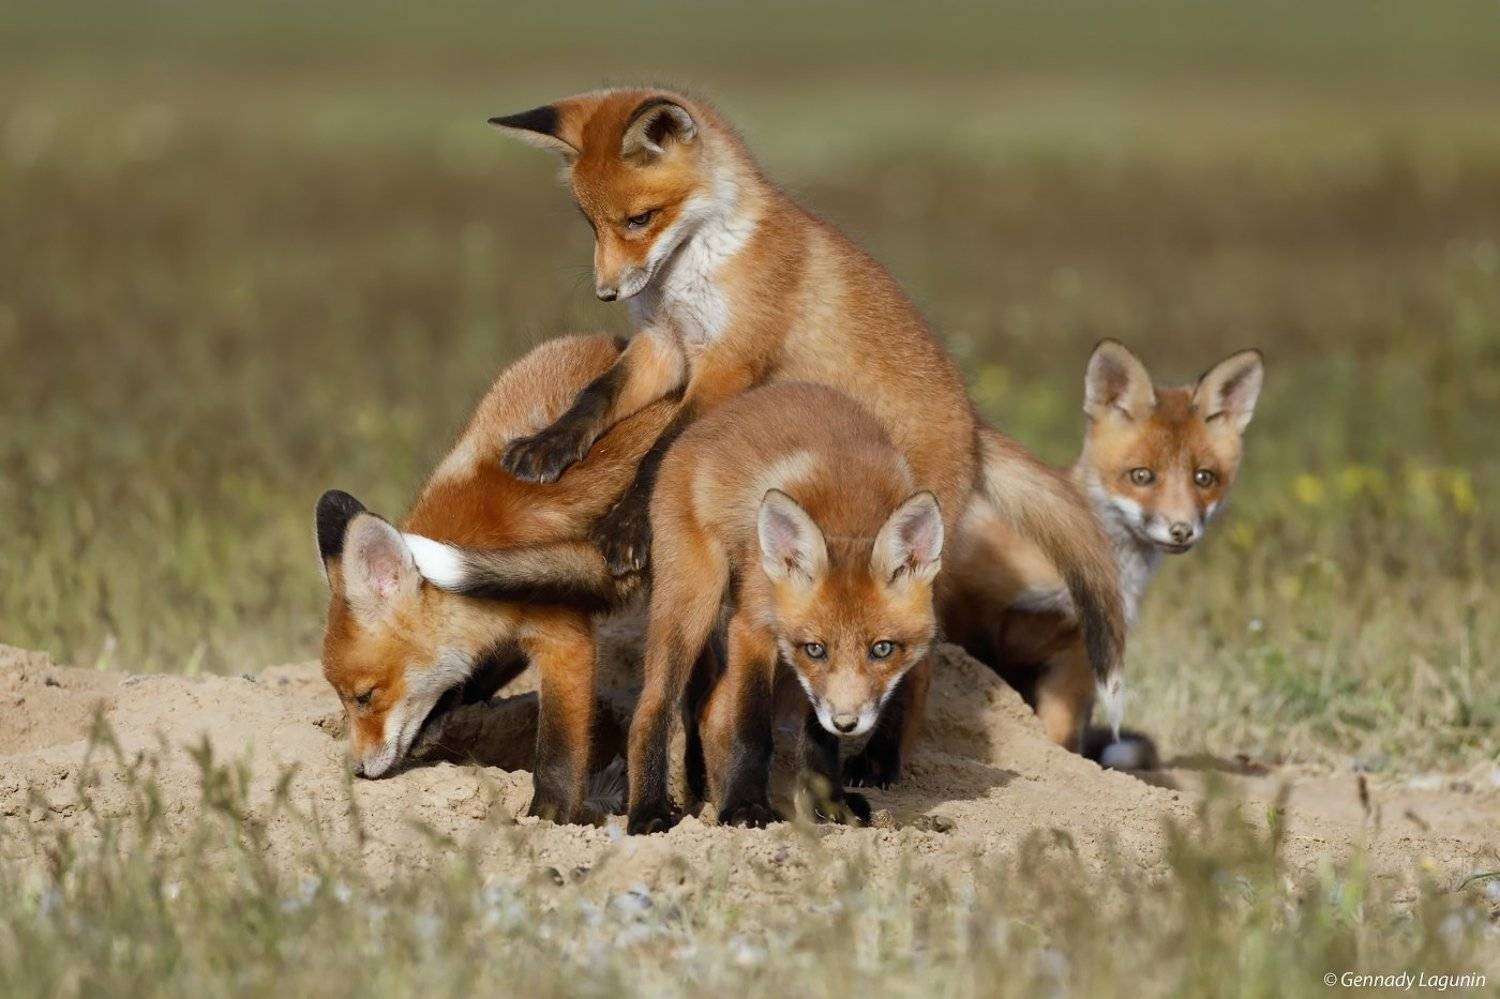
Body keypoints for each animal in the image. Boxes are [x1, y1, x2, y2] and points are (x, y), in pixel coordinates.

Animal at [314, 333, 673, 822]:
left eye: (365, 696)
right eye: (343, 698)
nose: (358, 771)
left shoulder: (565, 640)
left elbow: (558, 752)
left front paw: (550, 817)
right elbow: (471, 675)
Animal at [635, 382, 942, 832]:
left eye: (882, 649)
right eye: (816, 648)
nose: (848, 722)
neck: (848, 509)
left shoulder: (809, 675)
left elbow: (819, 736)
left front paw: (830, 805)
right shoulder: (752, 629)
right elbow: (751, 728)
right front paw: (745, 806)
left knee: (710, 710)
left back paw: (710, 790)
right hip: (694, 602)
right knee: (656, 705)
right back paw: (650, 809)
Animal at [942, 340, 1264, 765]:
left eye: (1204, 478)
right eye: (1141, 476)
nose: (1181, 530)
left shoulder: (1082, 651)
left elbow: (1060, 736)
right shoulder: (973, 599)